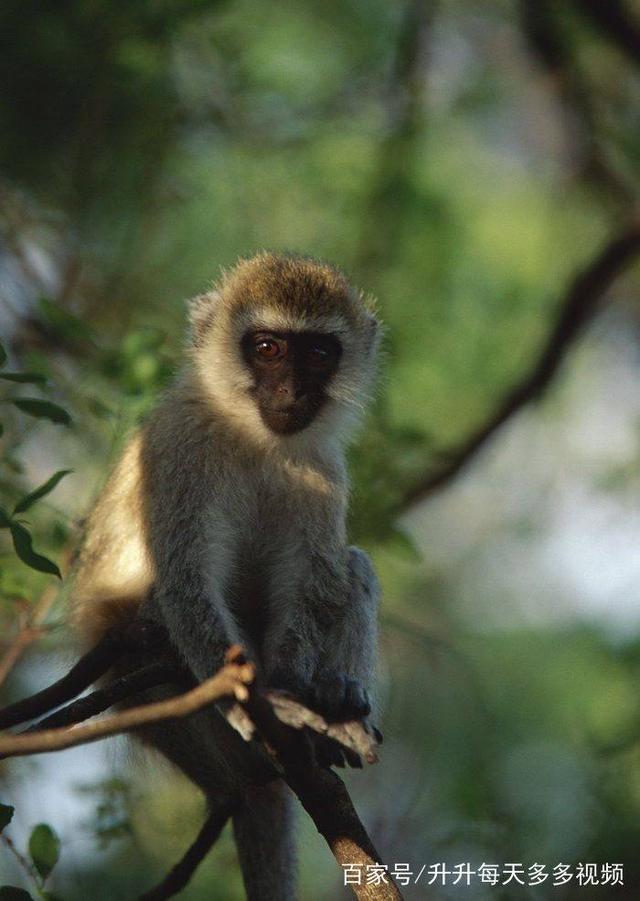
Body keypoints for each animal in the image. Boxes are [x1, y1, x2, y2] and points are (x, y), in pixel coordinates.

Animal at [71, 253, 380, 900]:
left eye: (318, 353)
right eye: (266, 347)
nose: (291, 390)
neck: (253, 437)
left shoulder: (323, 466)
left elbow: (315, 582)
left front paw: (299, 692)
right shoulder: (178, 450)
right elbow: (186, 581)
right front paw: (261, 706)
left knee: (353, 566)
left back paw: (335, 701)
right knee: (149, 636)